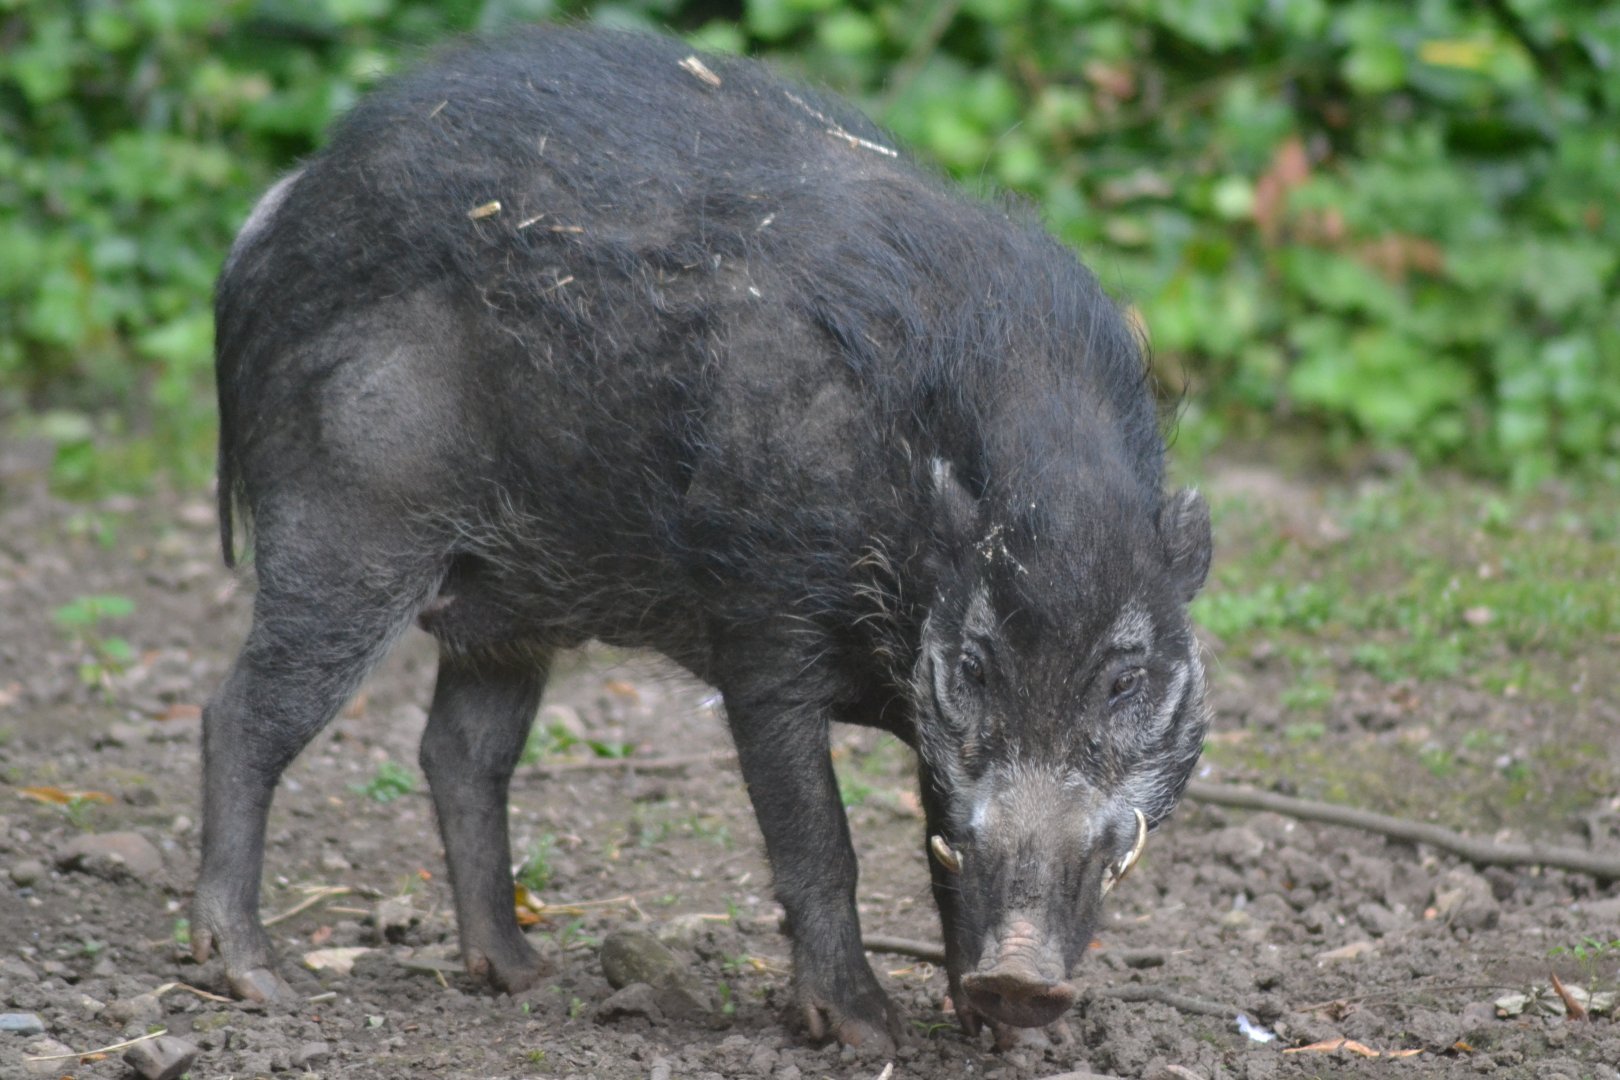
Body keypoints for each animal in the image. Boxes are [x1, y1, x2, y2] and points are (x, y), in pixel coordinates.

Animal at [194, 25, 1212, 1050]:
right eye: (974, 665)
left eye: (1125, 680)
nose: (1021, 981)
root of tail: (278, 205)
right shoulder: (761, 630)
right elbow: (820, 842)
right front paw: (866, 1031)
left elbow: (941, 851)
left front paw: (995, 1035)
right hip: (345, 530)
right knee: (242, 717)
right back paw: (260, 982)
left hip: (507, 603)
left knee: (460, 752)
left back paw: (520, 976)